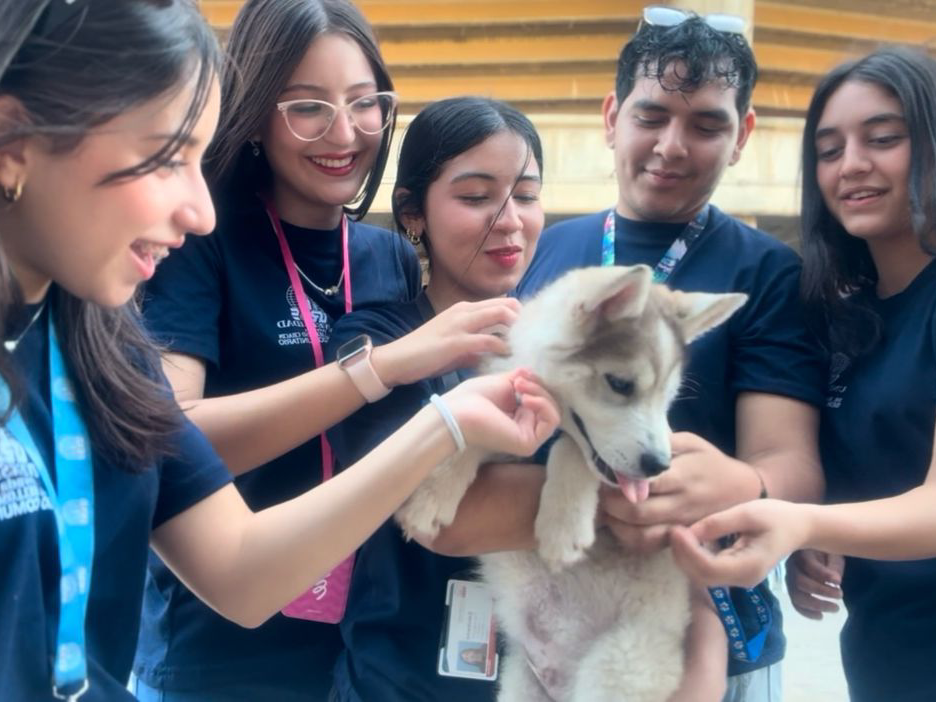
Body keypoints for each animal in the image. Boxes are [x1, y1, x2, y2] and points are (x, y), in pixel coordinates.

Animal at [394, 266, 744, 702]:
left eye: (668, 396)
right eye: (620, 384)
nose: (660, 466)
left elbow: (572, 450)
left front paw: (562, 526)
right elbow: (477, 431)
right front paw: (432, 496)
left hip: (617, 666)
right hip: (522, 685)